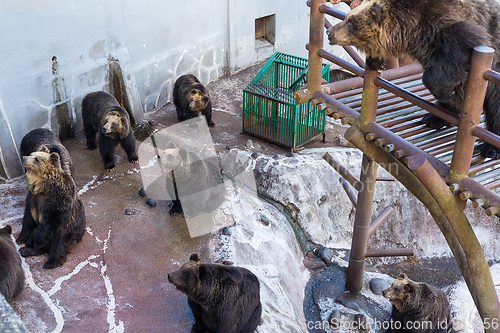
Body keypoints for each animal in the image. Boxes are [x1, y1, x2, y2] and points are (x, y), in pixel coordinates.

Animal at [328, 0, 500, 158]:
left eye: (350, 21)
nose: (330, 31)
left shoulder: (450, 25)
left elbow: (463, 44)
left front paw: (445, 93)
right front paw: (375, 61)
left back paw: (491, 147)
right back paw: (433, 117)